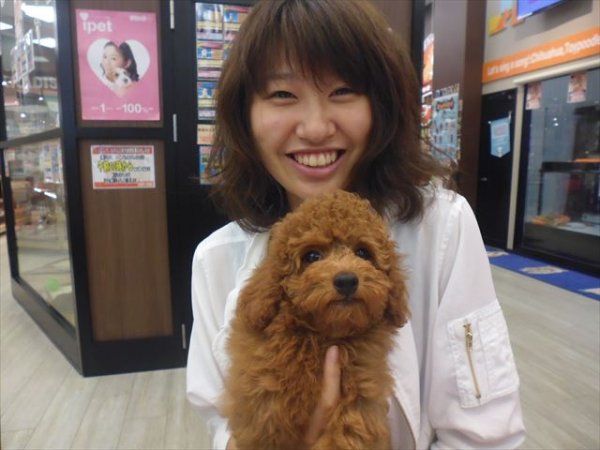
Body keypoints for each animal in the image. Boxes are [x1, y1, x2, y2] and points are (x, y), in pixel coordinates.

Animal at [222, 190, 409, 450]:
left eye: (363, 252)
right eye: (312, 256)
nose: (346, 280)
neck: (322, 336)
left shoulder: (362, 389)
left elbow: (350, 428)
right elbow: (269, 407)